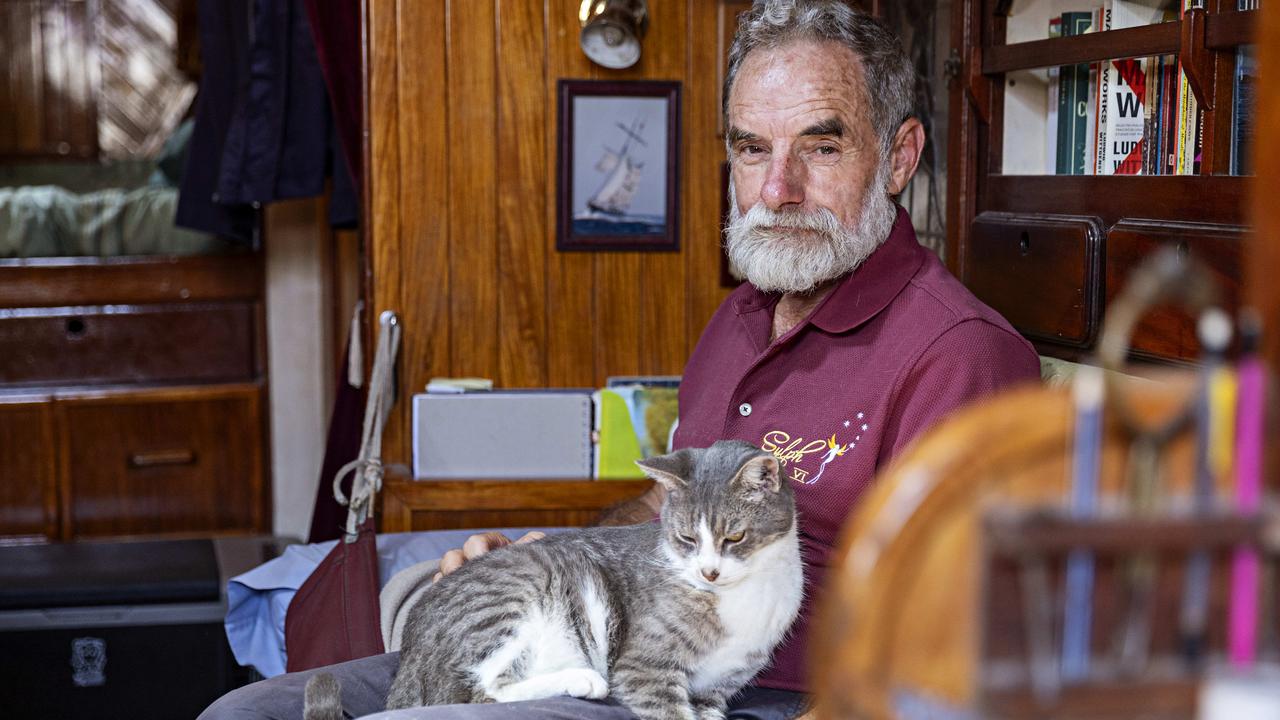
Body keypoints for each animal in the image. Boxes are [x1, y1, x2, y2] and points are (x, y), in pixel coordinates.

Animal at [305, 438, 798, 717]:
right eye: (686, 538)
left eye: (734, 536)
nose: (709, 571)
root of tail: (409, 656)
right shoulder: (644, 668)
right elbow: (668, 709)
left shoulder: (718, 689)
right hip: (513, 600)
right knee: (474, 692)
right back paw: (583, 679)